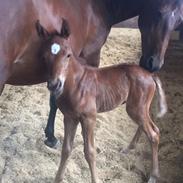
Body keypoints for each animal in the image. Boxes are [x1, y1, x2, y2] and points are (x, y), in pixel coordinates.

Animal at [37, 22, 167, 183]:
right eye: (44, 56)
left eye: (68, 55)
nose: (54, 84)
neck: (76, 83)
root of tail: (150, 75)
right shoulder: (69, 118)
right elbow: (66, 149)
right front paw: (57, 179)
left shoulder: (89, 118)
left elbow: (89, 152)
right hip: (140, 108)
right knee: (151, 128)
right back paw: (128, 148)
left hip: (135, 108)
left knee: (153, 134)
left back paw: (153, 175)